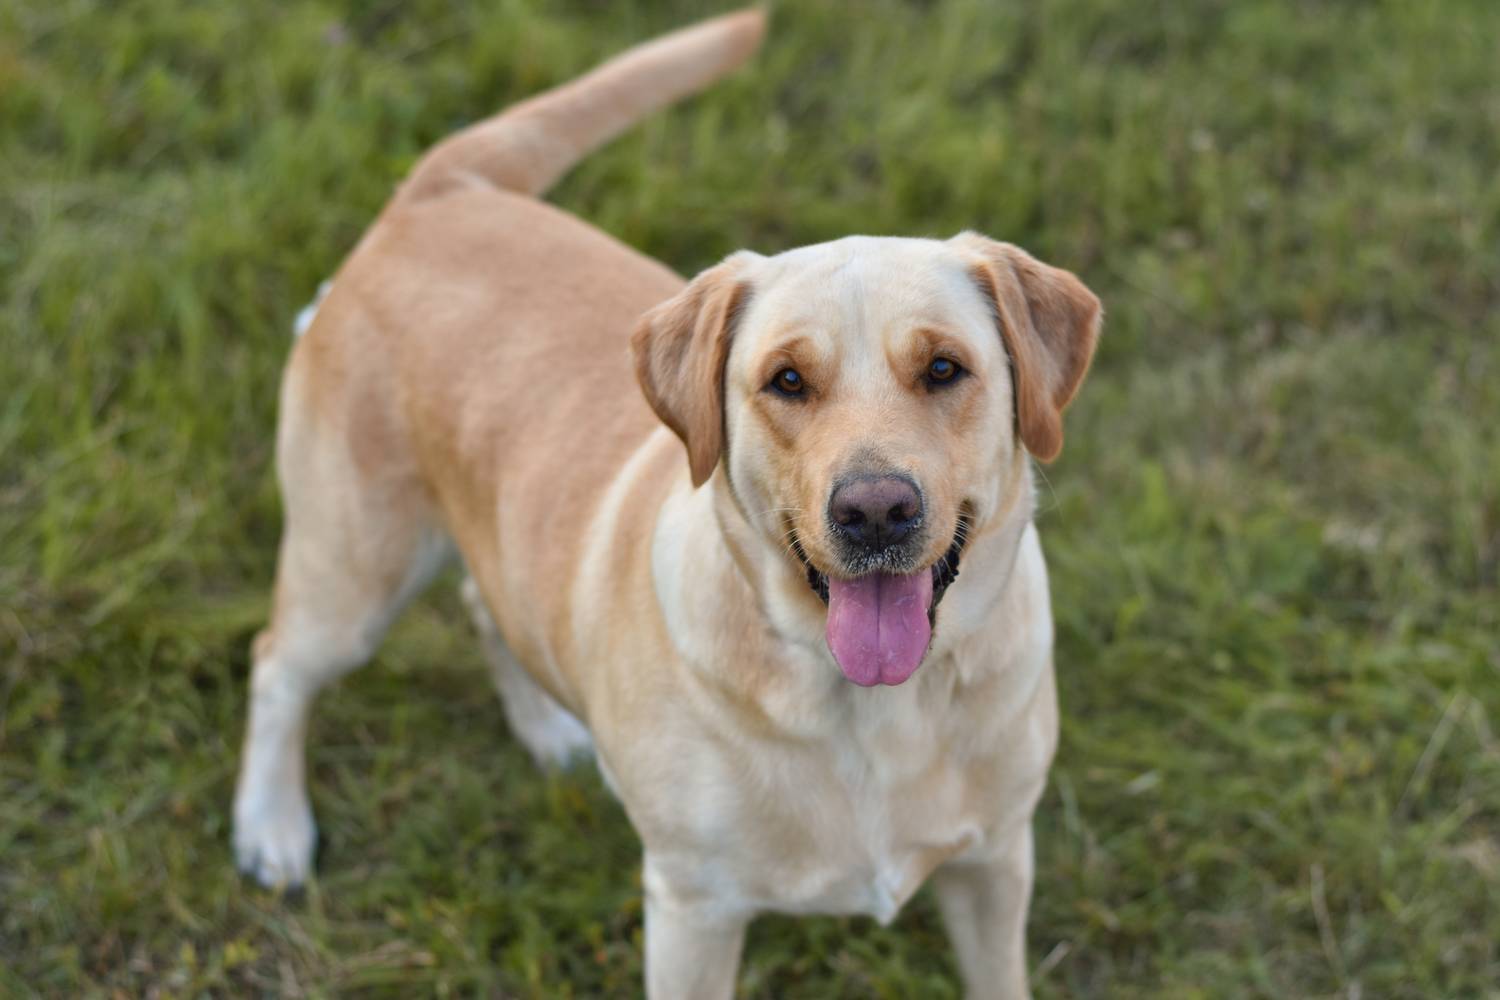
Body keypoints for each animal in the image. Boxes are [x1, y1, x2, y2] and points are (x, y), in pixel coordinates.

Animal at [234, 9, 1104, 1000]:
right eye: (787, 380)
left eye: (945, 368)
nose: (876, 512)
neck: (869, 706)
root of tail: (438, 190)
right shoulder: (695, 907)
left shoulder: (996, 863)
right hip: (352, 574)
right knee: (276, 663)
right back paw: (270, 828)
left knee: (482, 602)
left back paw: (549, 727)